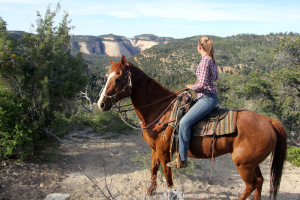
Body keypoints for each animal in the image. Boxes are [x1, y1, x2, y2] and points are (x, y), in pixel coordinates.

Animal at [97, 55, 288, 200]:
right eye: (106, 77)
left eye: (118, 78)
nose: (101, 104)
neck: (160, 110)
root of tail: (270, 121)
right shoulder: (155, 149)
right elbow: (153, 169)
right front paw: (150, 191)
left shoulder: (164, 152)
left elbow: (168, 176)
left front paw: (169, 193)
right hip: (252, 163)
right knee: (260, 182)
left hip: (243, 164)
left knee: (251, 184)